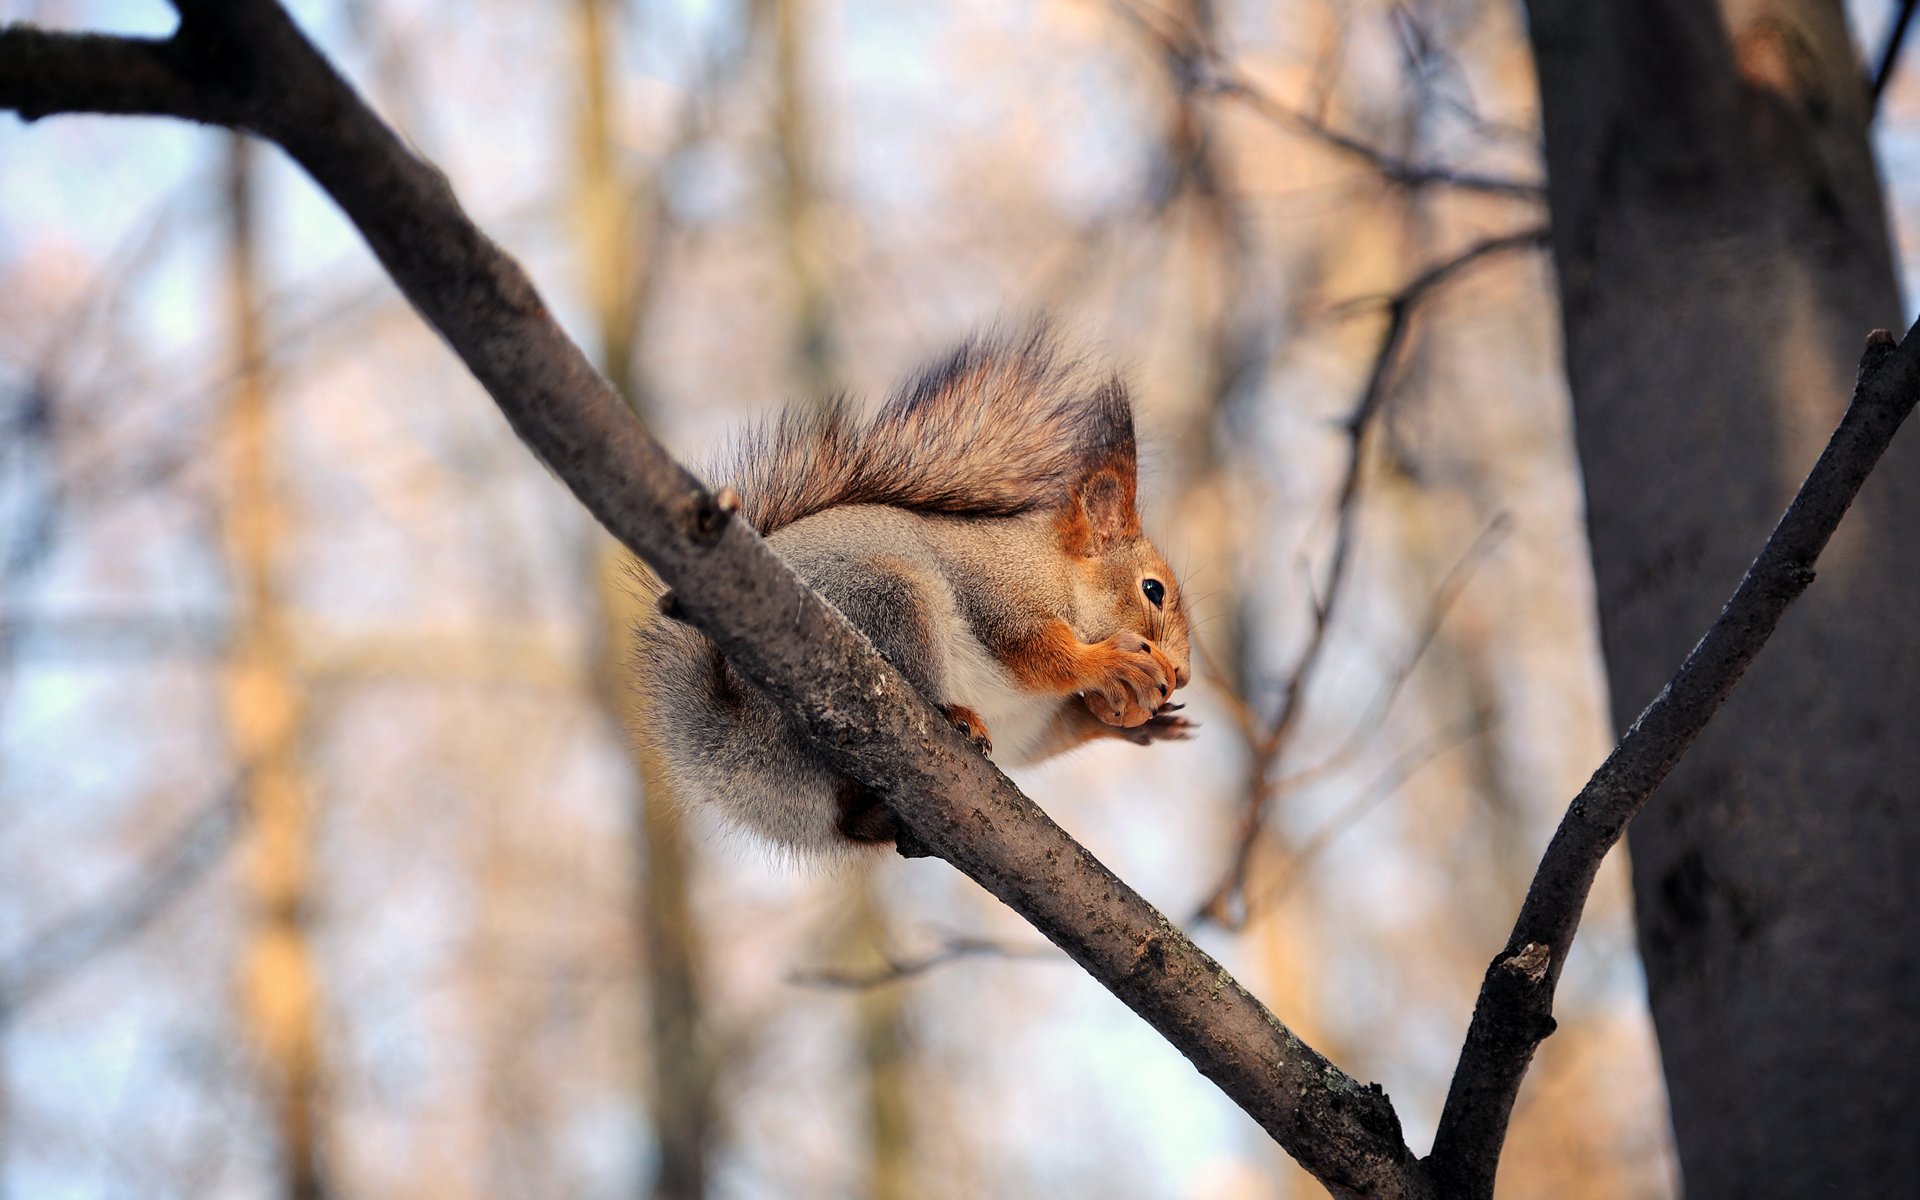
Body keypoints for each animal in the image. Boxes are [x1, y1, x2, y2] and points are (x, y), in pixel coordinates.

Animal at [637, 328, 1190, 852]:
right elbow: (1033, 651)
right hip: (889, 603)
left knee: (850, 821)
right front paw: (1111, 663)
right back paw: (954, 715)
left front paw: (1142, 723)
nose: (1183, 674)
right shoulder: (1000, 590)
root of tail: (730, 747)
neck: (1058, 572)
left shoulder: (1029, 721)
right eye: (1152, 589)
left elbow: (1052, 735)